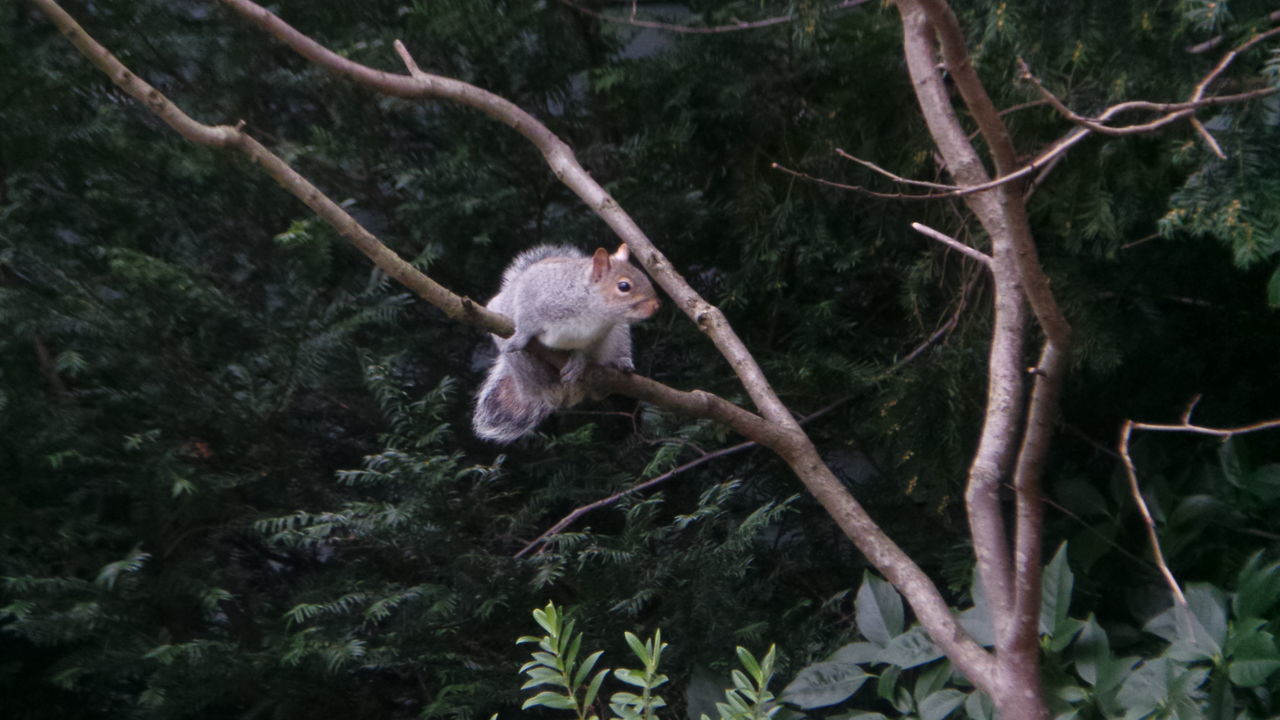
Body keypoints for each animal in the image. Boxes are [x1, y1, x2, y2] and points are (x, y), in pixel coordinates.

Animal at [476, 243, 665, 440]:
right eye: (624, 286)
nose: (656, 305)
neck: (593, 310)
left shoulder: (597, 336)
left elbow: (584, 350)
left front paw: (578, 361)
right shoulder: (533, 294)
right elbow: (526, 319)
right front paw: (521, 337)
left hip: (619, 335)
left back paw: (620, 363)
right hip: (520, 364)